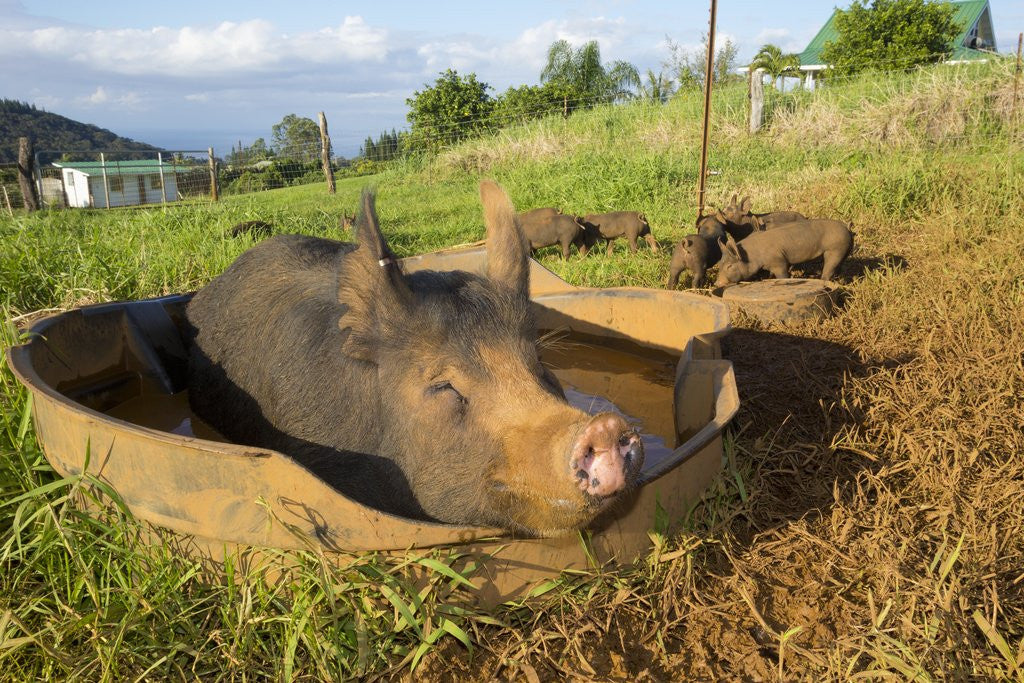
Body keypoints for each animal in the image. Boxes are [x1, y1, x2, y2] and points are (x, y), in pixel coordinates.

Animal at [714, 219, 854, 287]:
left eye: (729, 266)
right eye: (720, 264)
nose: (717, 283)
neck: (752, 255)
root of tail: (846, 227)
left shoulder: (778, 261)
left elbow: (782, 274)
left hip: (835, 249)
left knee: (829, 268)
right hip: (845, 250)